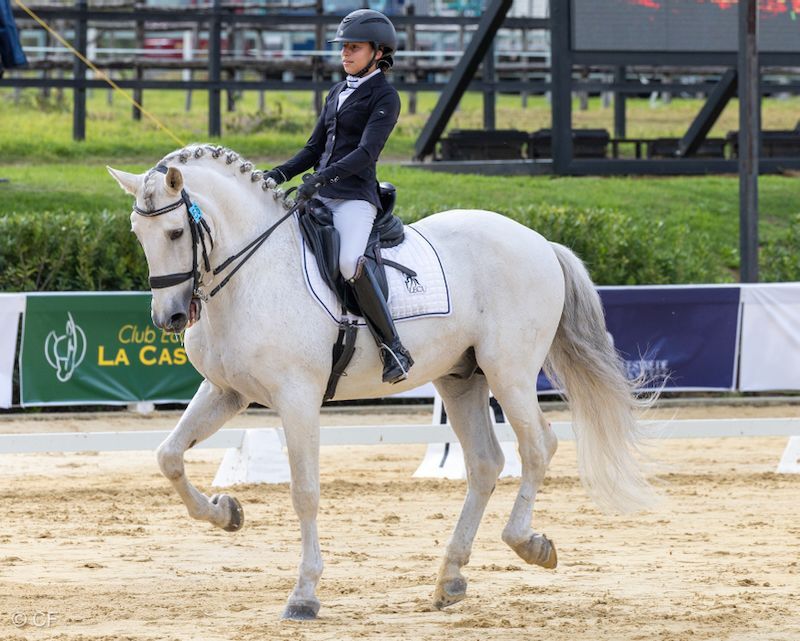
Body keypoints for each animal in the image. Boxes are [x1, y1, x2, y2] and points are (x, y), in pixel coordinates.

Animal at [108, 144, 658, 620]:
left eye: (175, 233)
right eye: (138, 233)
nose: (169, 318)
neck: (252, 273)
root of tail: (539, 241)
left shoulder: (297, 398)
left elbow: (304, 491)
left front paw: (304, 595)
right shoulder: (228, 391)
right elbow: (169, 456)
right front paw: (226, 511)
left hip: (512, 370)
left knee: (538, 446)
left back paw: (529, 544)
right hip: (461, 377)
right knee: (485, 463)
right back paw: (450, 579)